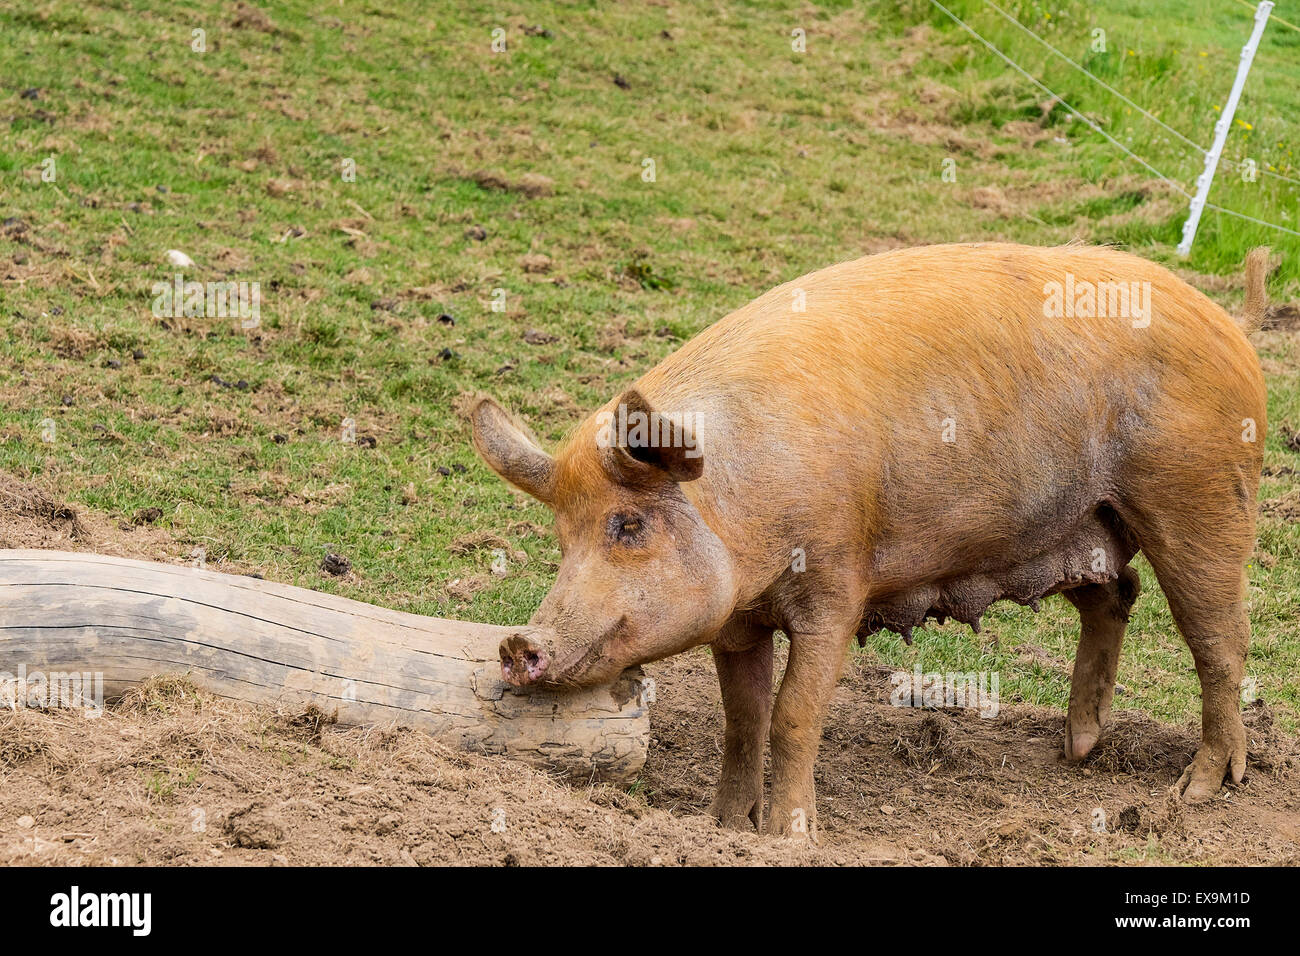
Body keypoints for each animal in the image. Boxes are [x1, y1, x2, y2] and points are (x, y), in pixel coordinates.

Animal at [470, 243, 1268, 842]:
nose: (518, 643)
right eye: (562, 536)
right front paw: (723, 827)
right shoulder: (736, 620)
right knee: (1117, 596)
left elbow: (794, 715)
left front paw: (790, 838)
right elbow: (742, 719)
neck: (743, 501)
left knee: (1221, 638)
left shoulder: (836, 583)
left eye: (629, 525)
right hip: (1087, 522)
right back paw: (1075, 751)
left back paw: (1199, 791)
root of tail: (1228, 321)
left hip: (1199, 496)